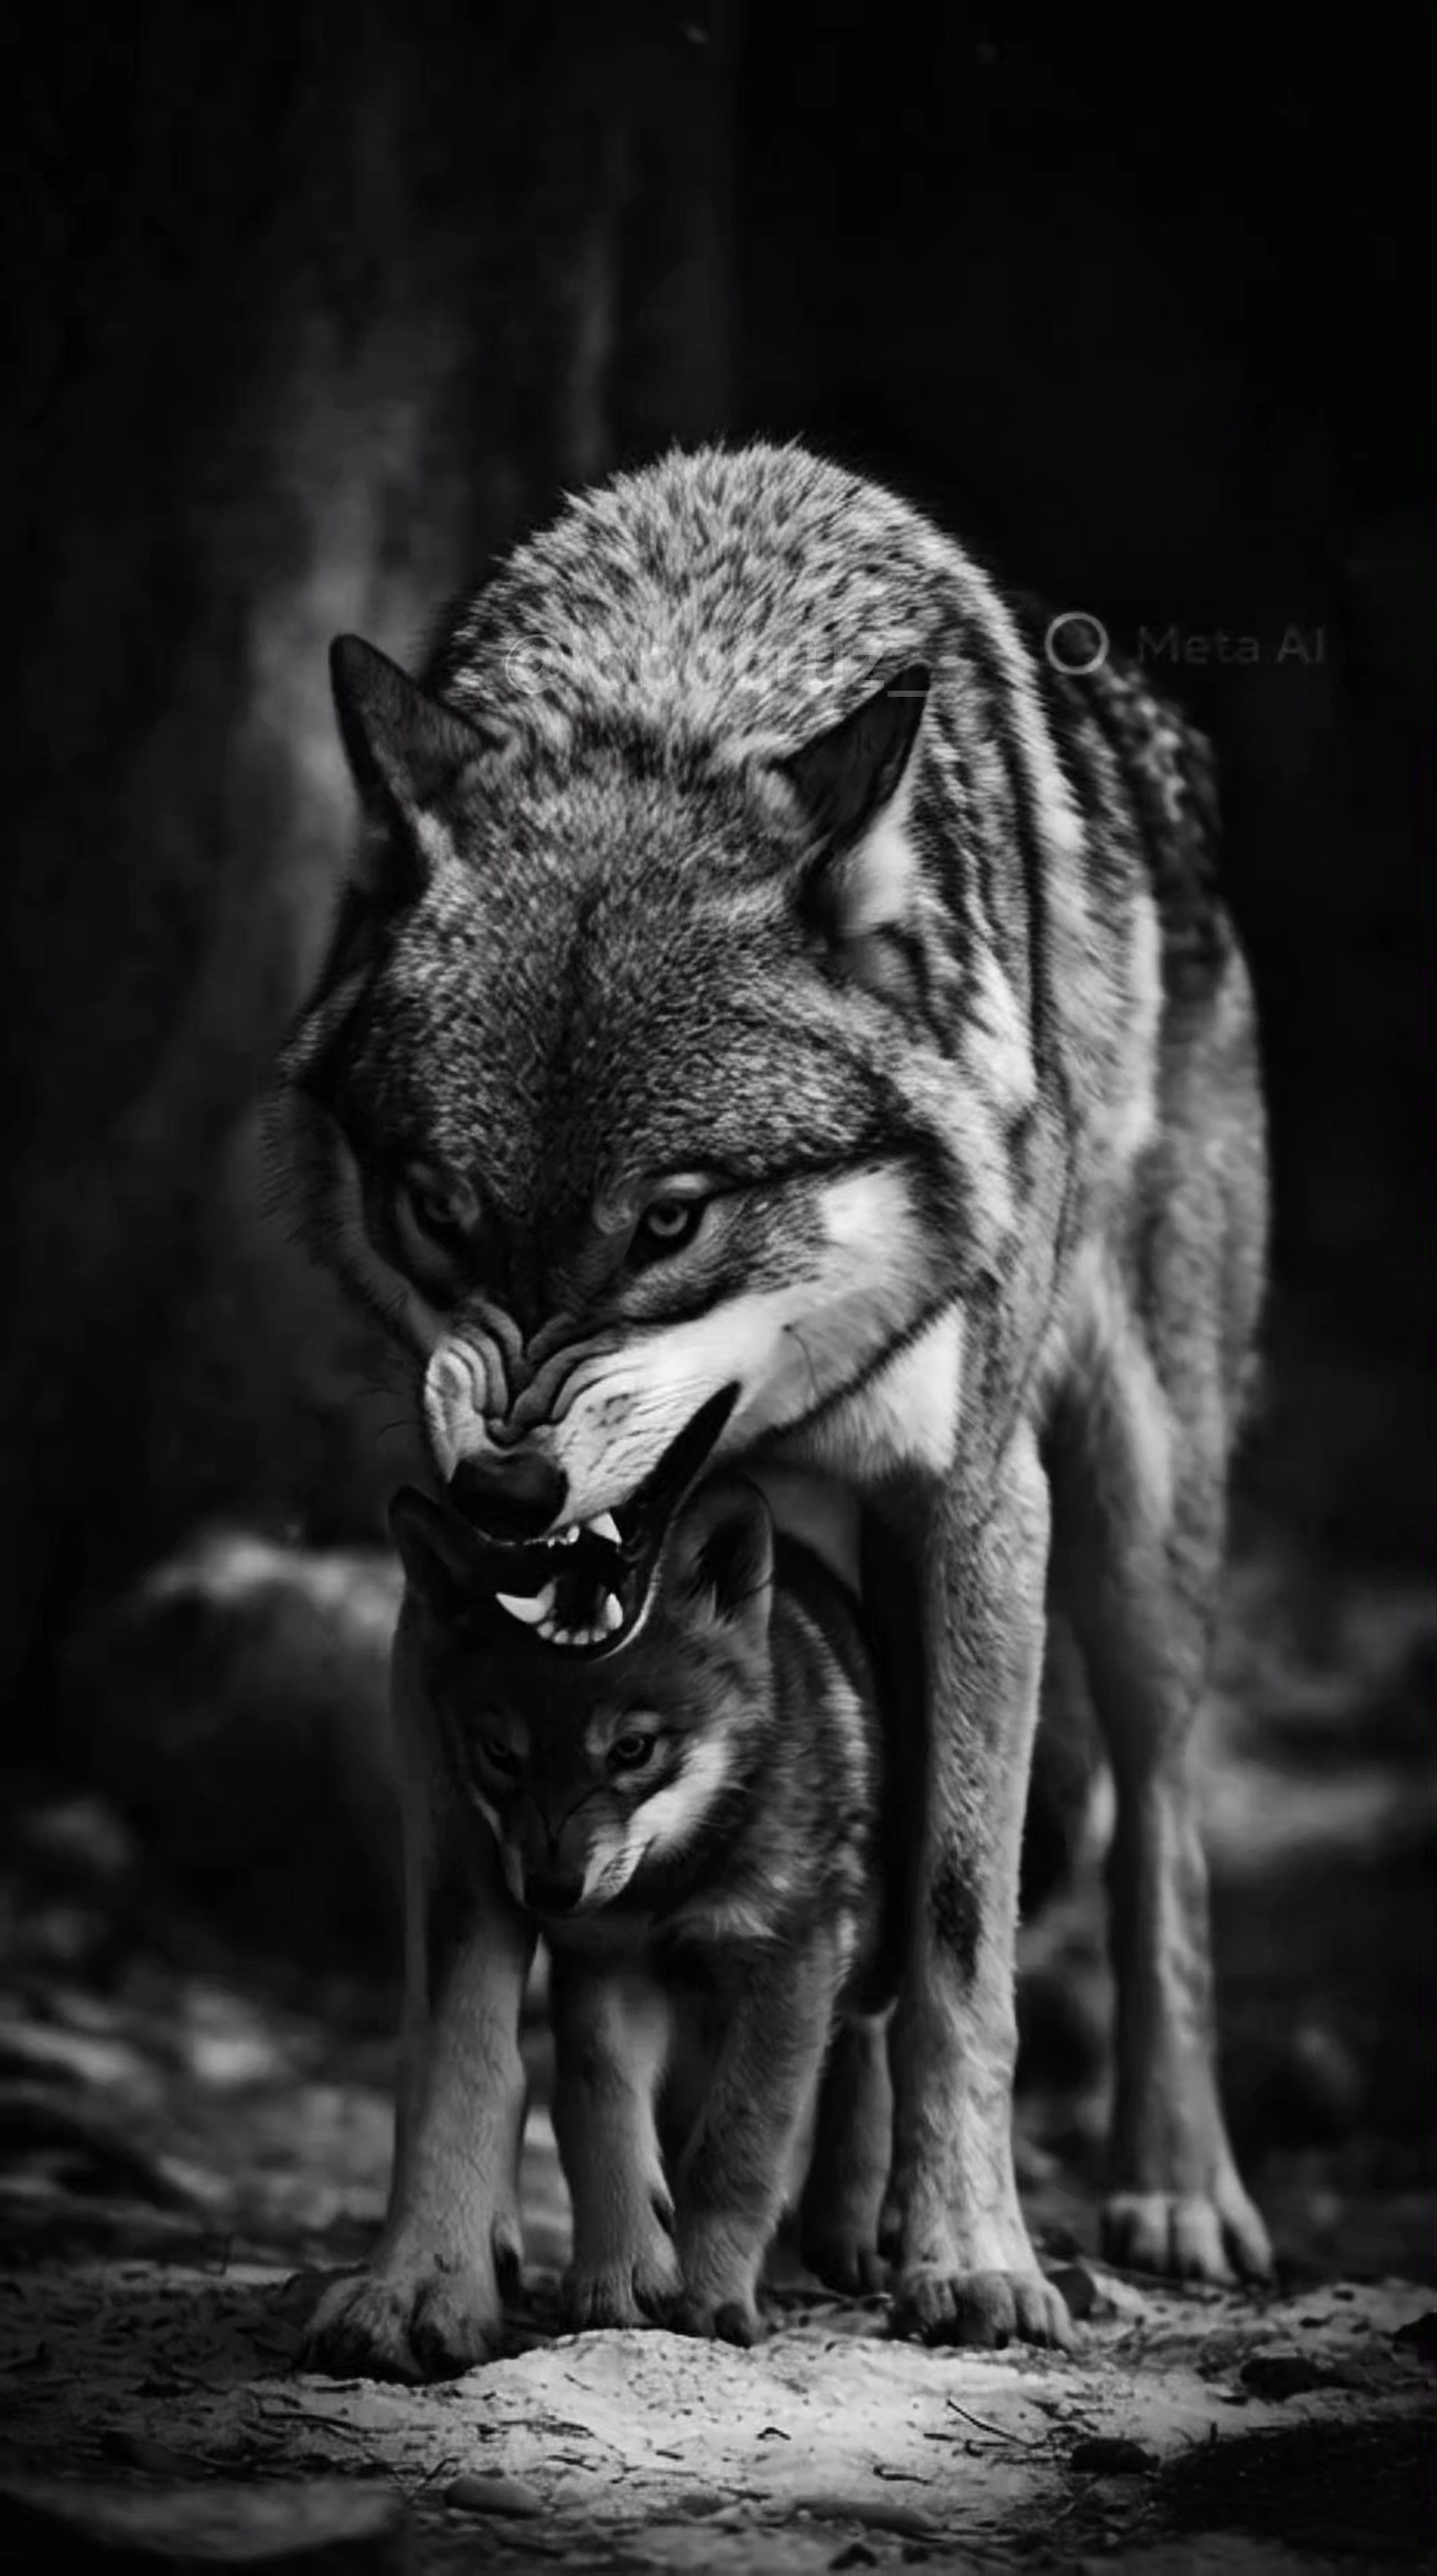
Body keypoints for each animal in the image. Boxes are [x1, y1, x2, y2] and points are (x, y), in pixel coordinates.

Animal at [305, 1470, 896, 2373]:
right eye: (500, 1755)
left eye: (632, 1750)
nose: (549, 1890)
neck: (674, 1879)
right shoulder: (607, 1966)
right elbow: (598, 2113)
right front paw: (622, 2276)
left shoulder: (787, 1960)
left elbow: (740, 2148)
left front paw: (710, 2296)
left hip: (861, 1947)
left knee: (865, 2042)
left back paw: (848, 2233)